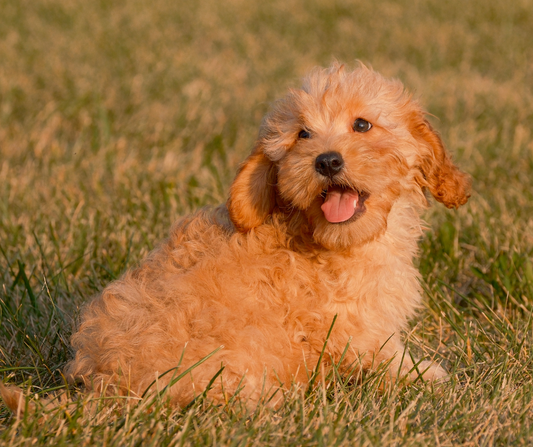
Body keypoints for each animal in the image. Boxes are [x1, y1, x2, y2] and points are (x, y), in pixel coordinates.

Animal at [64, 63, 468, 410]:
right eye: (303, 134)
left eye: (362, 124)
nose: (326, 161)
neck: (326, 238)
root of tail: (104, 383)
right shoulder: (351, 327)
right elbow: (381, 355)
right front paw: (422, 374)